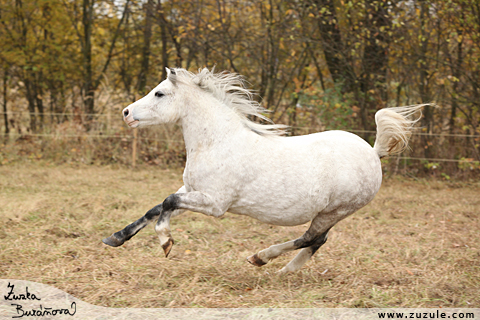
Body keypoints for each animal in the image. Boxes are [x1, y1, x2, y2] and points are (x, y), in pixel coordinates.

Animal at [103, 67, 422, 272]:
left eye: (159, 93)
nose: (126, 113)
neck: (218, 141)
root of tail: (373, 152)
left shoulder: (214, 204)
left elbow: (167, 204)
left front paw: (166, 242)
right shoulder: (193, 191)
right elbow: (156, 208)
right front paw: (115, 238)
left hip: (336, 210)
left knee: (311, 238)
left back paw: (262, 259)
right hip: (331, 213)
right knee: (317, 241)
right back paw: (284, 271)